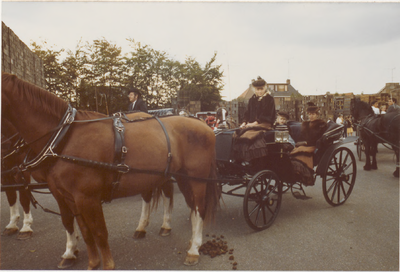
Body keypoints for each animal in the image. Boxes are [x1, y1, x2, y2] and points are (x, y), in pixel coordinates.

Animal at [1, 73, 220, 270]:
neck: (63, 137)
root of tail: (202, 124)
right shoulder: (66, 196)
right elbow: (80, 228)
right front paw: (86, 259)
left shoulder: (87, 198)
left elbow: (99, 232)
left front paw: (105, 264)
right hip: (178, 177)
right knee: (186, 205)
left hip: (197, 179)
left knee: (199, 207)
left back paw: (193, 249)